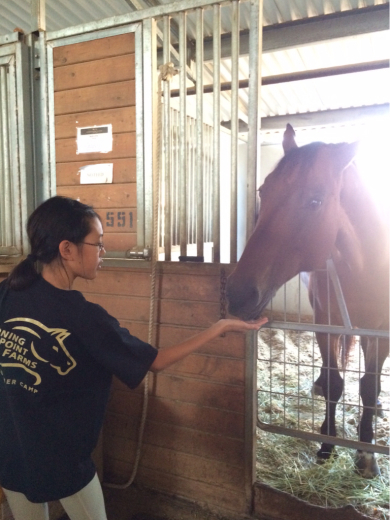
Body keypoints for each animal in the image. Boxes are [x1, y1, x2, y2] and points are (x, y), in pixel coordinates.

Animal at [227, 124, 388, 478]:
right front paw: (328, 443)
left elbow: (368, 386)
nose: (237, 294)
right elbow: (335, 382)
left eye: (316, 200)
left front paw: (366, 454)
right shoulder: (325, 322)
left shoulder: (381, 332)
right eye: (263, 190)